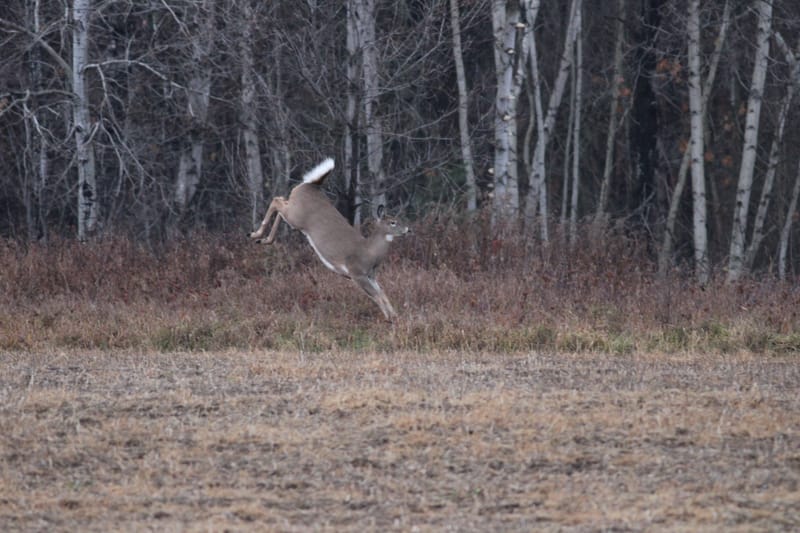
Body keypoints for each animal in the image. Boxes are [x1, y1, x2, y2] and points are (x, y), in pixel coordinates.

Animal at [249, 157, 409, 320]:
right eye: (393, 222)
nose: (407, 229)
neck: (370, 252)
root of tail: (311, 184)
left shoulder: (371, 275)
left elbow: (383, 294)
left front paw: (395, 316)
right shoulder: (356, 272)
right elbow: (377, 296)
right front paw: (390, 319)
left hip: (294, 214)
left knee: (281, 202)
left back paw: (264, 239)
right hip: (296, 215)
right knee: (277, 201)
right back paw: (256, 234)